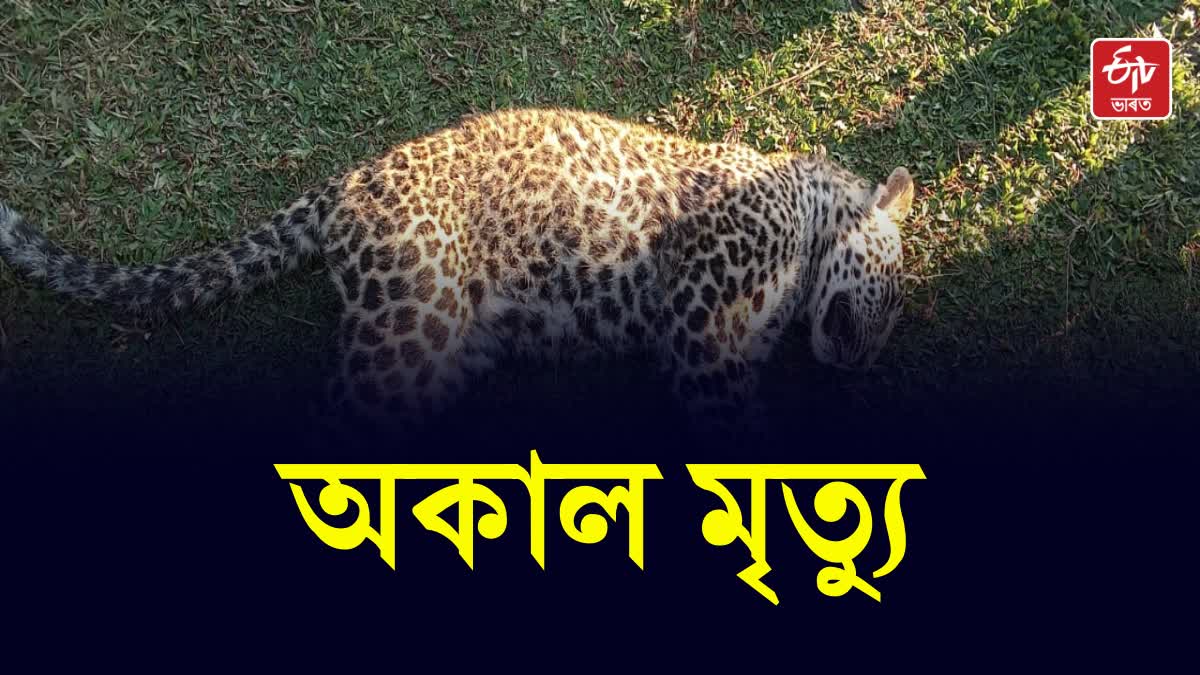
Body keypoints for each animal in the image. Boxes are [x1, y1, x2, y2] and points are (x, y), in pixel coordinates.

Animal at [0, 108, 913, 437]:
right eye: (897, 295)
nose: (867, 359)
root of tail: (352, 179)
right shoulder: (702, 328)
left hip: (445, 352)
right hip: (414, 315)